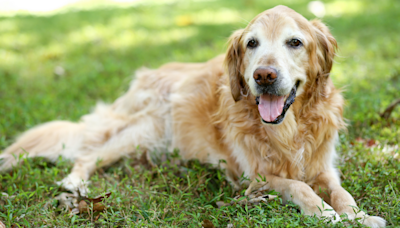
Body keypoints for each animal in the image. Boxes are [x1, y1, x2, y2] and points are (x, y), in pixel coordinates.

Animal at [0, 5, 388, 228]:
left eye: (295, 42)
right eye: (251, 44)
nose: (263, 76)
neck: (288, 130)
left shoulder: (324, 166)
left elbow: (342, 192)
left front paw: (359, 215)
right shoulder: (254, 177)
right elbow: (297, 186)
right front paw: (324, 213)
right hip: (143, 130)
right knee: (87, 155)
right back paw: (75, 184)